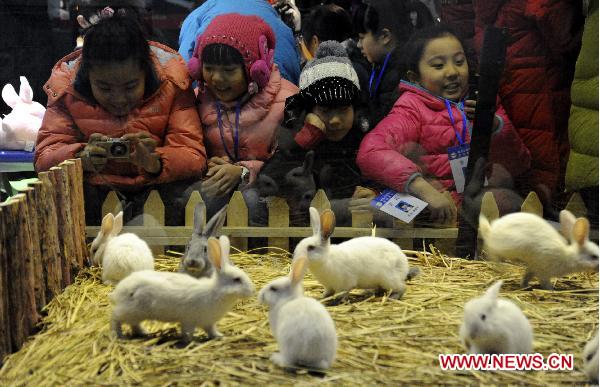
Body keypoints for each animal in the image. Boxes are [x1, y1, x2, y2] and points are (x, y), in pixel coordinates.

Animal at [109, 236, 254, 342]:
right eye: (237, 279)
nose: (252, 291)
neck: (215, 291)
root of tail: (120, 290)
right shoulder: (189, 320)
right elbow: (188, 331)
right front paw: (190, 340)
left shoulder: (208, 322)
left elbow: (211, 331)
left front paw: (219, 336)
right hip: (130, 311)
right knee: (115, 318)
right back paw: (119, 336)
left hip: (136, 314)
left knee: (134, 324)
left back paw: (143, 332)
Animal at [292, 208, 420, 302]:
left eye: (311, 247)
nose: (296, 257)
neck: (326, 259)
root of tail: (404, 266)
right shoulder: (328, 286)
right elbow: (327, 293)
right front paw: (321, 298)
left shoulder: (345, 284)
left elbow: (342, 294)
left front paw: (337, 301)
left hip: (389, 279)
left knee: (401, 288)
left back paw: (392, 298)